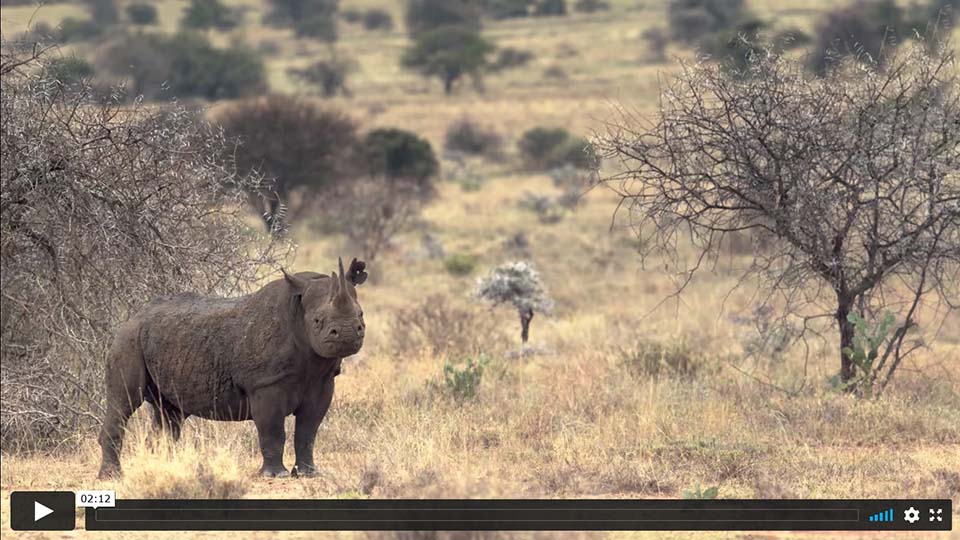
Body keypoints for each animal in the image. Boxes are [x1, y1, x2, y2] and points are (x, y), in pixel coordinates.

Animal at [97, 258, 368, 479]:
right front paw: (275, 475)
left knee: (170, 414)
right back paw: (112, 477)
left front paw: (308, 473)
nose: (346, 333)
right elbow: (272, 430)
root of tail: (133, 316)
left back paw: (163, 469)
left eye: (361, 315)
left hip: (161, 342)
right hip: (127, 340)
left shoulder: (323, 382)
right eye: (317, 321)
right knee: (124, 403)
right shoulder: (265, 384)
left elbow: (308, 431)